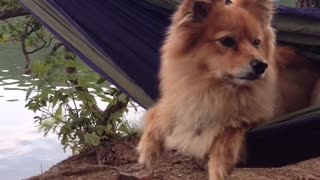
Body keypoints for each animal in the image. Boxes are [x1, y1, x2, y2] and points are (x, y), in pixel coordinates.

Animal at [136, 0, 318, 179]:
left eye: (256, 43)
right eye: (227, 41)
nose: (262, 65)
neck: (214, 90)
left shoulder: (262, 115)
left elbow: (233, 125)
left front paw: (219, 163)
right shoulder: (175, 103)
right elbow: (156, 114)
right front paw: (147, 149)